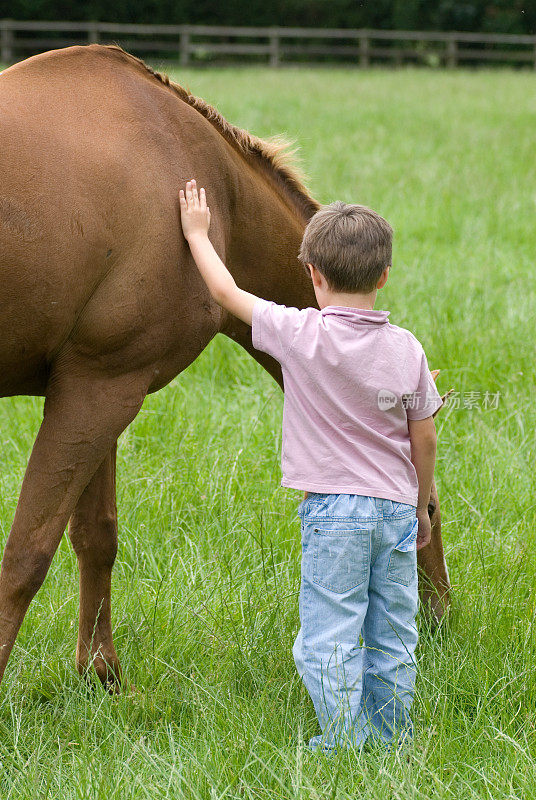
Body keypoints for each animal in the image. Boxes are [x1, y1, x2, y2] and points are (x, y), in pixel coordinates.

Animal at [0, 45, 450, 688]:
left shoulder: (96, 387)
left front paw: (100, 677)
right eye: (428, 509)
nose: (438, 621)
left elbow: (95, 537)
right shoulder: (98, 390)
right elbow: (27, 555)